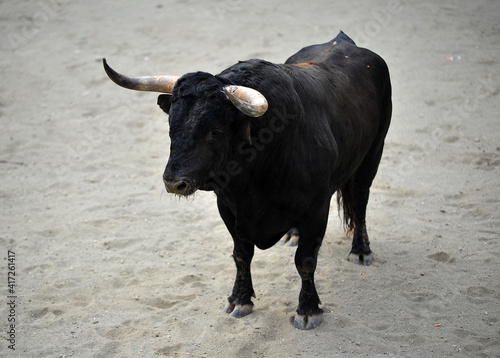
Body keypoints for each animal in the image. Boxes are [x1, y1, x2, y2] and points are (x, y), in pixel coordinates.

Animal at [103, 32, 390, 328]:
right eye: (172, 125)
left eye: (215, 131)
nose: (174, 182)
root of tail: (342, 40)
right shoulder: (229, 208)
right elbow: (242, 254)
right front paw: (239, 299)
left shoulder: (316, 209)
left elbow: (305, 261)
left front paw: (308, 309)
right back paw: (293, 234)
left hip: (372, 155)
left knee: (360, 202)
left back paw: (361, 251)